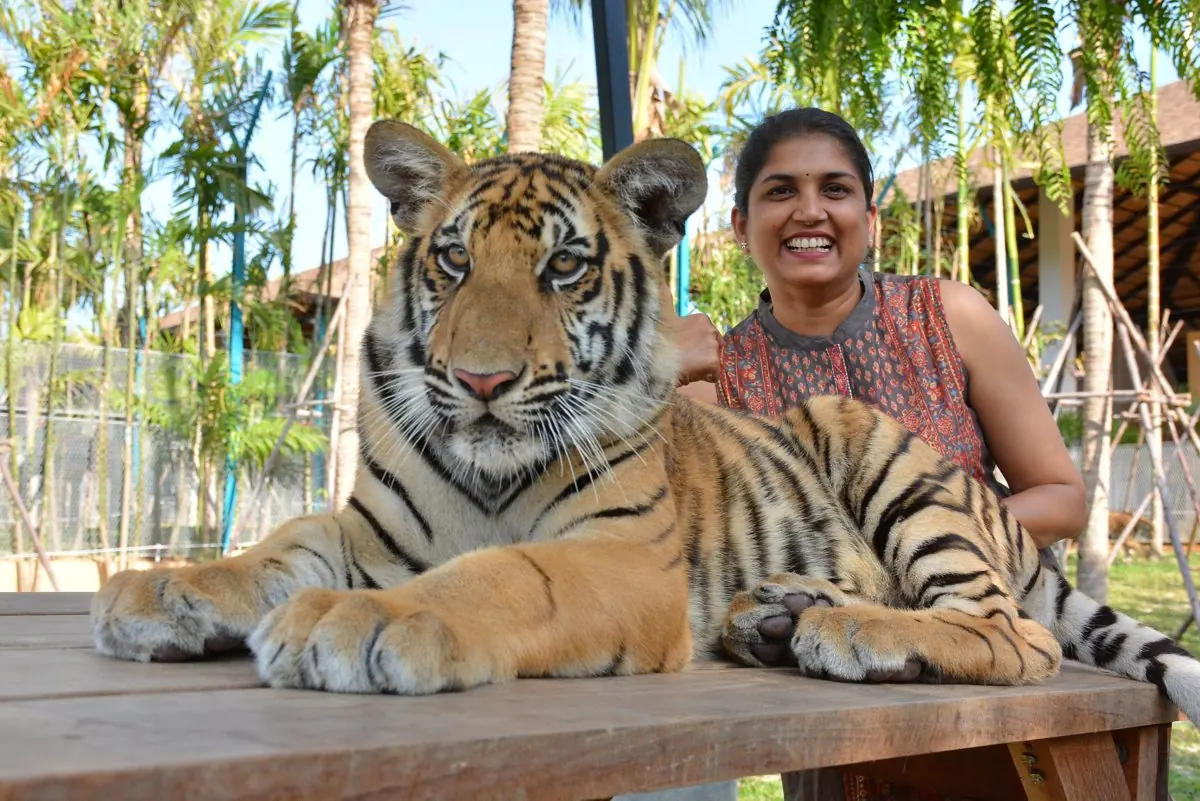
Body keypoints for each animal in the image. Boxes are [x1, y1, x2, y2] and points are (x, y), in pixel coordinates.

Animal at [91, 121, 1200, 724]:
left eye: (562, 266)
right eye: (452, 258)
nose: (482, 379)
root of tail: (1001, 518)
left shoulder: (620, 558)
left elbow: (502, 572)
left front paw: (360, 623)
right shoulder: (371, 529)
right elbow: (280, 545)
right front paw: (164, 591)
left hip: (873, 442)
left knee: (1013, 633)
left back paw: (846, 629)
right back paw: (776, 617)